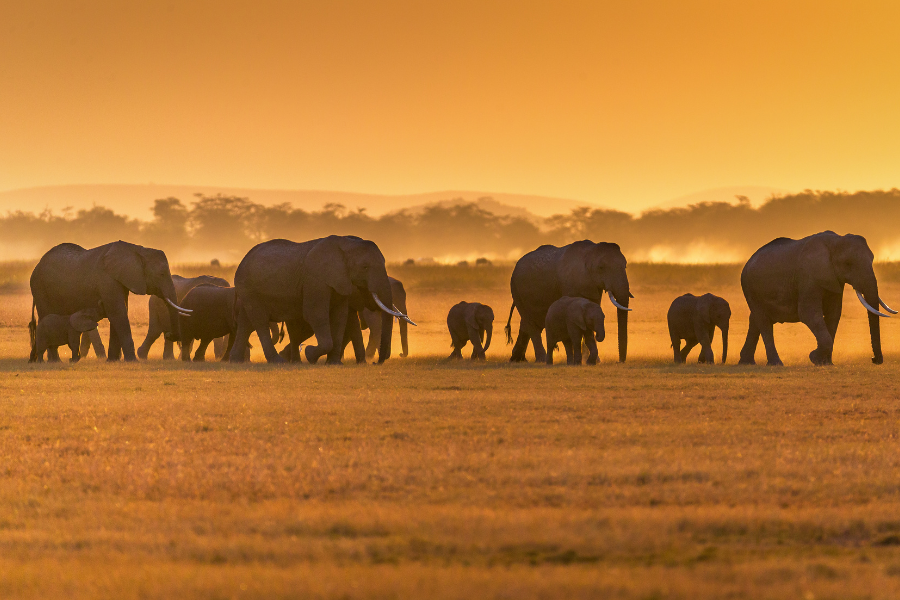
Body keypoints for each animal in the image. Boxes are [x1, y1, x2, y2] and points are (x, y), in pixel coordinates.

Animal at [30, 241, 191, 361]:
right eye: (162, 274)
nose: (170, 334)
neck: (137, 249)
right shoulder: (107, 280)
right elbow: (118, 313)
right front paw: (132, 361)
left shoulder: (121, 280)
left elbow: (119, 312)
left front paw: (113, 361)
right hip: (40, 289)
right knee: (46, 316)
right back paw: (54, 361)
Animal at [230, 235, 414, 364]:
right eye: (365, 267)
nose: (376, 363)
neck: (346, 245)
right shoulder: (315, 279)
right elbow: (315, 314)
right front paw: (310, 355)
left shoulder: (340, 281)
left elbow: (340, 317)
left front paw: (334, 363)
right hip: (249, 288)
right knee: (259, 321)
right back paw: (277, 361)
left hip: (248, 290)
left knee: (246, 323)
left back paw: (236, 360)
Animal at [738, 231, 894, 366]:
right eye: (848, 263)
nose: (874, 359)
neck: (836, 241)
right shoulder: (808, 278)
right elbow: (808, 313)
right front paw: (814, 357)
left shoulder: (834, 279)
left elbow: (833, 314)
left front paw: (826, 363)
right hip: (749, 287)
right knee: (763, 322)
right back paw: (776, 364)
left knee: (755, 320)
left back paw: (746, 362)